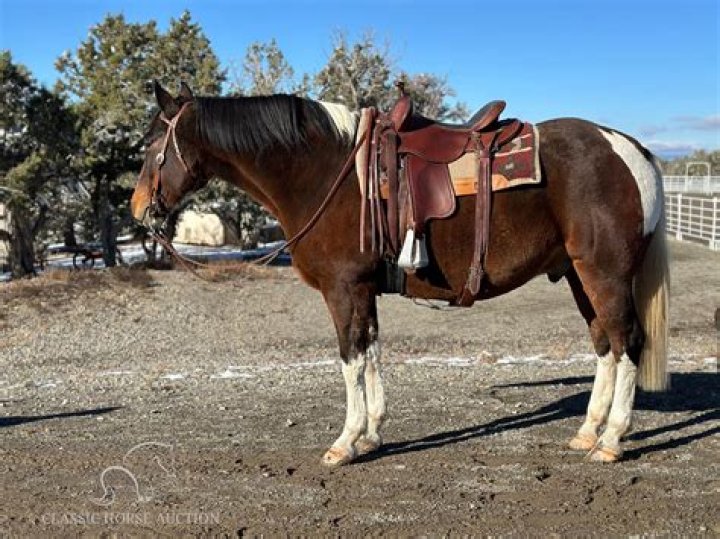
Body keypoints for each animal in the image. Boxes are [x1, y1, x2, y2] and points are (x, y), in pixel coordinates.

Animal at [130, 82, 669, 466]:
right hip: (579, 275)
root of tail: (631, 149)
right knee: (605, 344)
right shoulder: (364, 289)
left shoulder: (343, 288)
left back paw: (612, 440)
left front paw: (345, 441)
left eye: (153, 143)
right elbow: (370, 353)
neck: (326, 172)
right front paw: (372, 433)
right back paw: (587, 432)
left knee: (628, 341)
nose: (138, 207)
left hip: (605, 274)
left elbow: (350, 358)